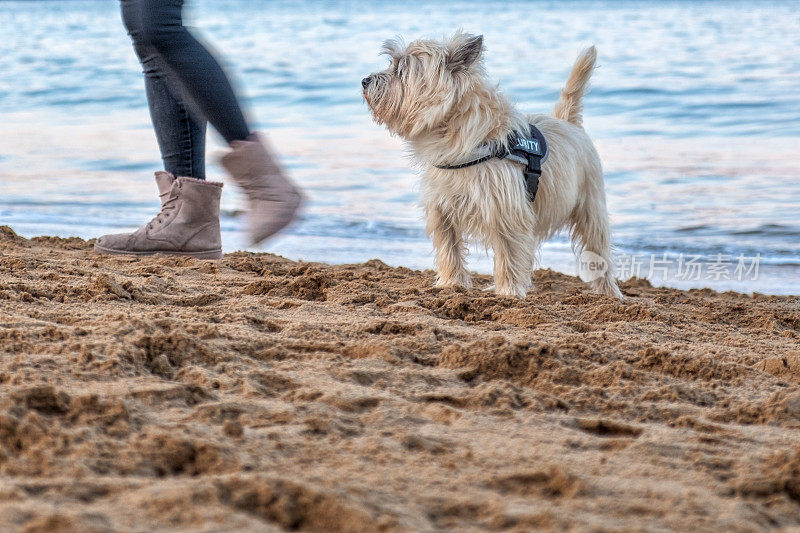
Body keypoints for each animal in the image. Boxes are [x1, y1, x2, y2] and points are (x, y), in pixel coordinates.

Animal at [360, 32, 620, 300]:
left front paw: (509, 292)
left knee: (598, 250)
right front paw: (452, 284)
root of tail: (568, 122)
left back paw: (609, 293)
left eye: (401, 69)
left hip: (591, 207)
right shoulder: (442, 208)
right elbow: (449, 247)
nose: (364, 81)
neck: (454, 136)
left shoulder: (506, 210)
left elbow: (509, 253)